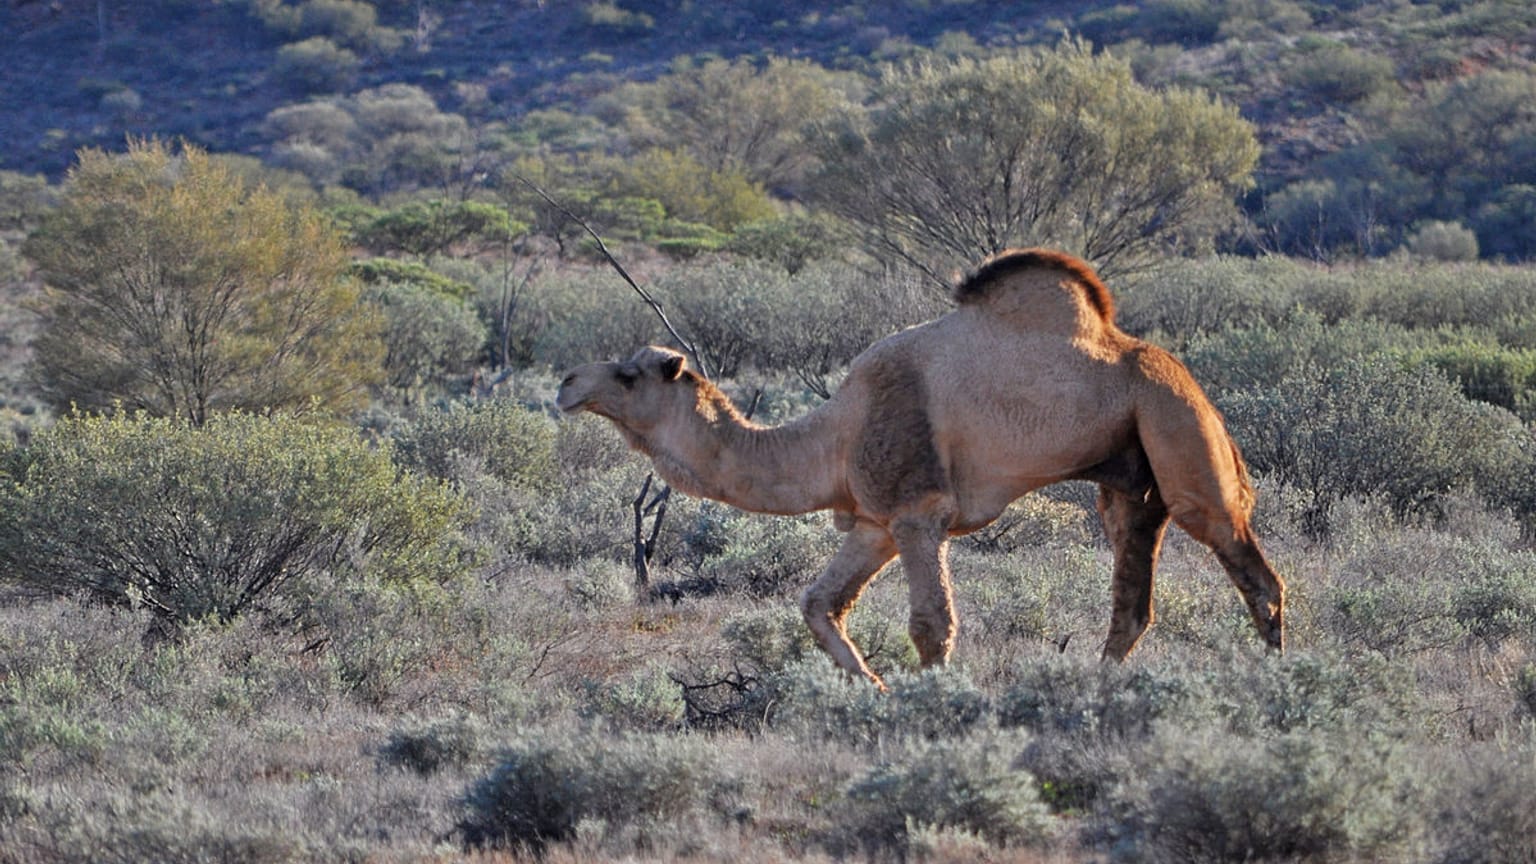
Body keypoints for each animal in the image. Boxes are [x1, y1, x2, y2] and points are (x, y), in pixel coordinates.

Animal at [556, 249, 1284, 687]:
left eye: (629, 374)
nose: (566, 383)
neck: (836, 435)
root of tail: (1181, 372)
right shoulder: (873, 523)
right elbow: (818, 603)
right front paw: (873, 689)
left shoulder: (917, 511)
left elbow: (931, 625)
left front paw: (930, 705)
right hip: (1131, 480)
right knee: (1132, 600)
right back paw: (1093, 691)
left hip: (1174, 423)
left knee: (1252, 569)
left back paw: (1278, 686)